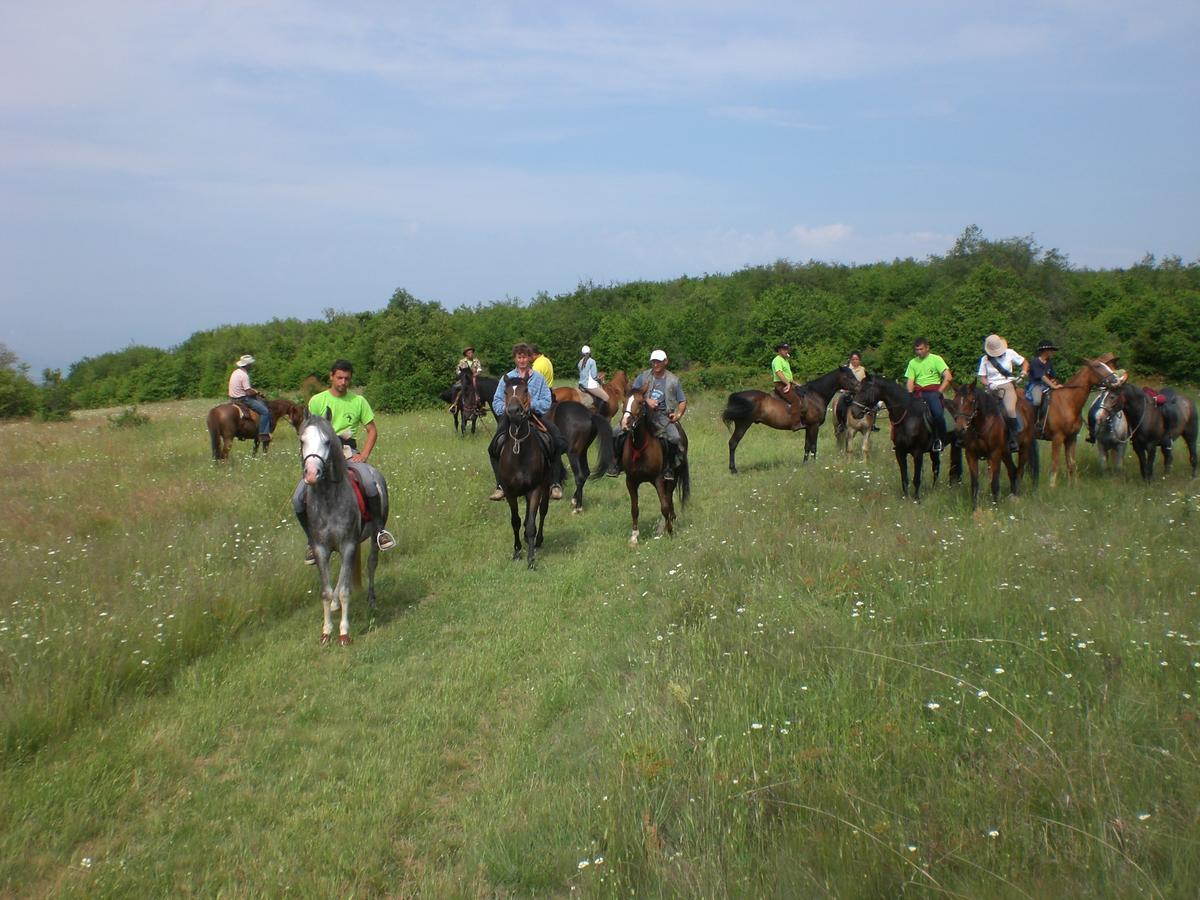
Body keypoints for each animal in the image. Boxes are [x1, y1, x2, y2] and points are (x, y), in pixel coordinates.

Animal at [296, 412, 386, 643]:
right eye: (302, 441)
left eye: (327, 441)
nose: (311, 474)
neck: (329, 500)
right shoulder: (321, 548)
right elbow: (327, 591)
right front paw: (326, 631)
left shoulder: (348, 544)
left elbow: (345, 590)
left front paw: (344, 632)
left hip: (373, 533)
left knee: (372, 563)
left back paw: (371, 599)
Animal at [619, 386, 696, 547]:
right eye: (624, 401)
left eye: (640, 402)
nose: (625, 424)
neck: (639, 446)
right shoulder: (631, 481)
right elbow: (634, 509)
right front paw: (634, 538)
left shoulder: (658, 479)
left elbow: (664, 506)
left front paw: (670, 531)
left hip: (672, 477)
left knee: (668, 498)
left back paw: (668, 524)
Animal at [720, 367, 864, 475]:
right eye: (849, 376)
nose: (860, 388)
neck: (815, 396)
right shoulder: (814, 426)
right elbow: (813, 446)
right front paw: (814, 465)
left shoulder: (808, 427)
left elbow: (807, 446)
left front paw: (805, 464)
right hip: (743, 425)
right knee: (733, 443)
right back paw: (733, 470)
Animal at [950, 381, 1036, 511]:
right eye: (955, 402)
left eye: (971, 401)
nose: (960, 429)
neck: (982, 425)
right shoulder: (970, 454)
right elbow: (974, 483)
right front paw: (975, 508)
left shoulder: (995, 454)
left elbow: (994, 482)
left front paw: (995, 507)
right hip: (1005, 452)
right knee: (1012, 470)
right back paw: (1012, 495)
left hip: (1024, 447)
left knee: (1020, 471)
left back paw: (1016, 496)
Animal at [1041, 352, 1123, 487]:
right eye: (1097, 366)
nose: (1117, 380)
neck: (1068, 402)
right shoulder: (1057, 438)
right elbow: (1055, 463)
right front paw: (1052, 487)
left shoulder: (1071, 438)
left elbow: (1071, 464)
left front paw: (1072, 486)